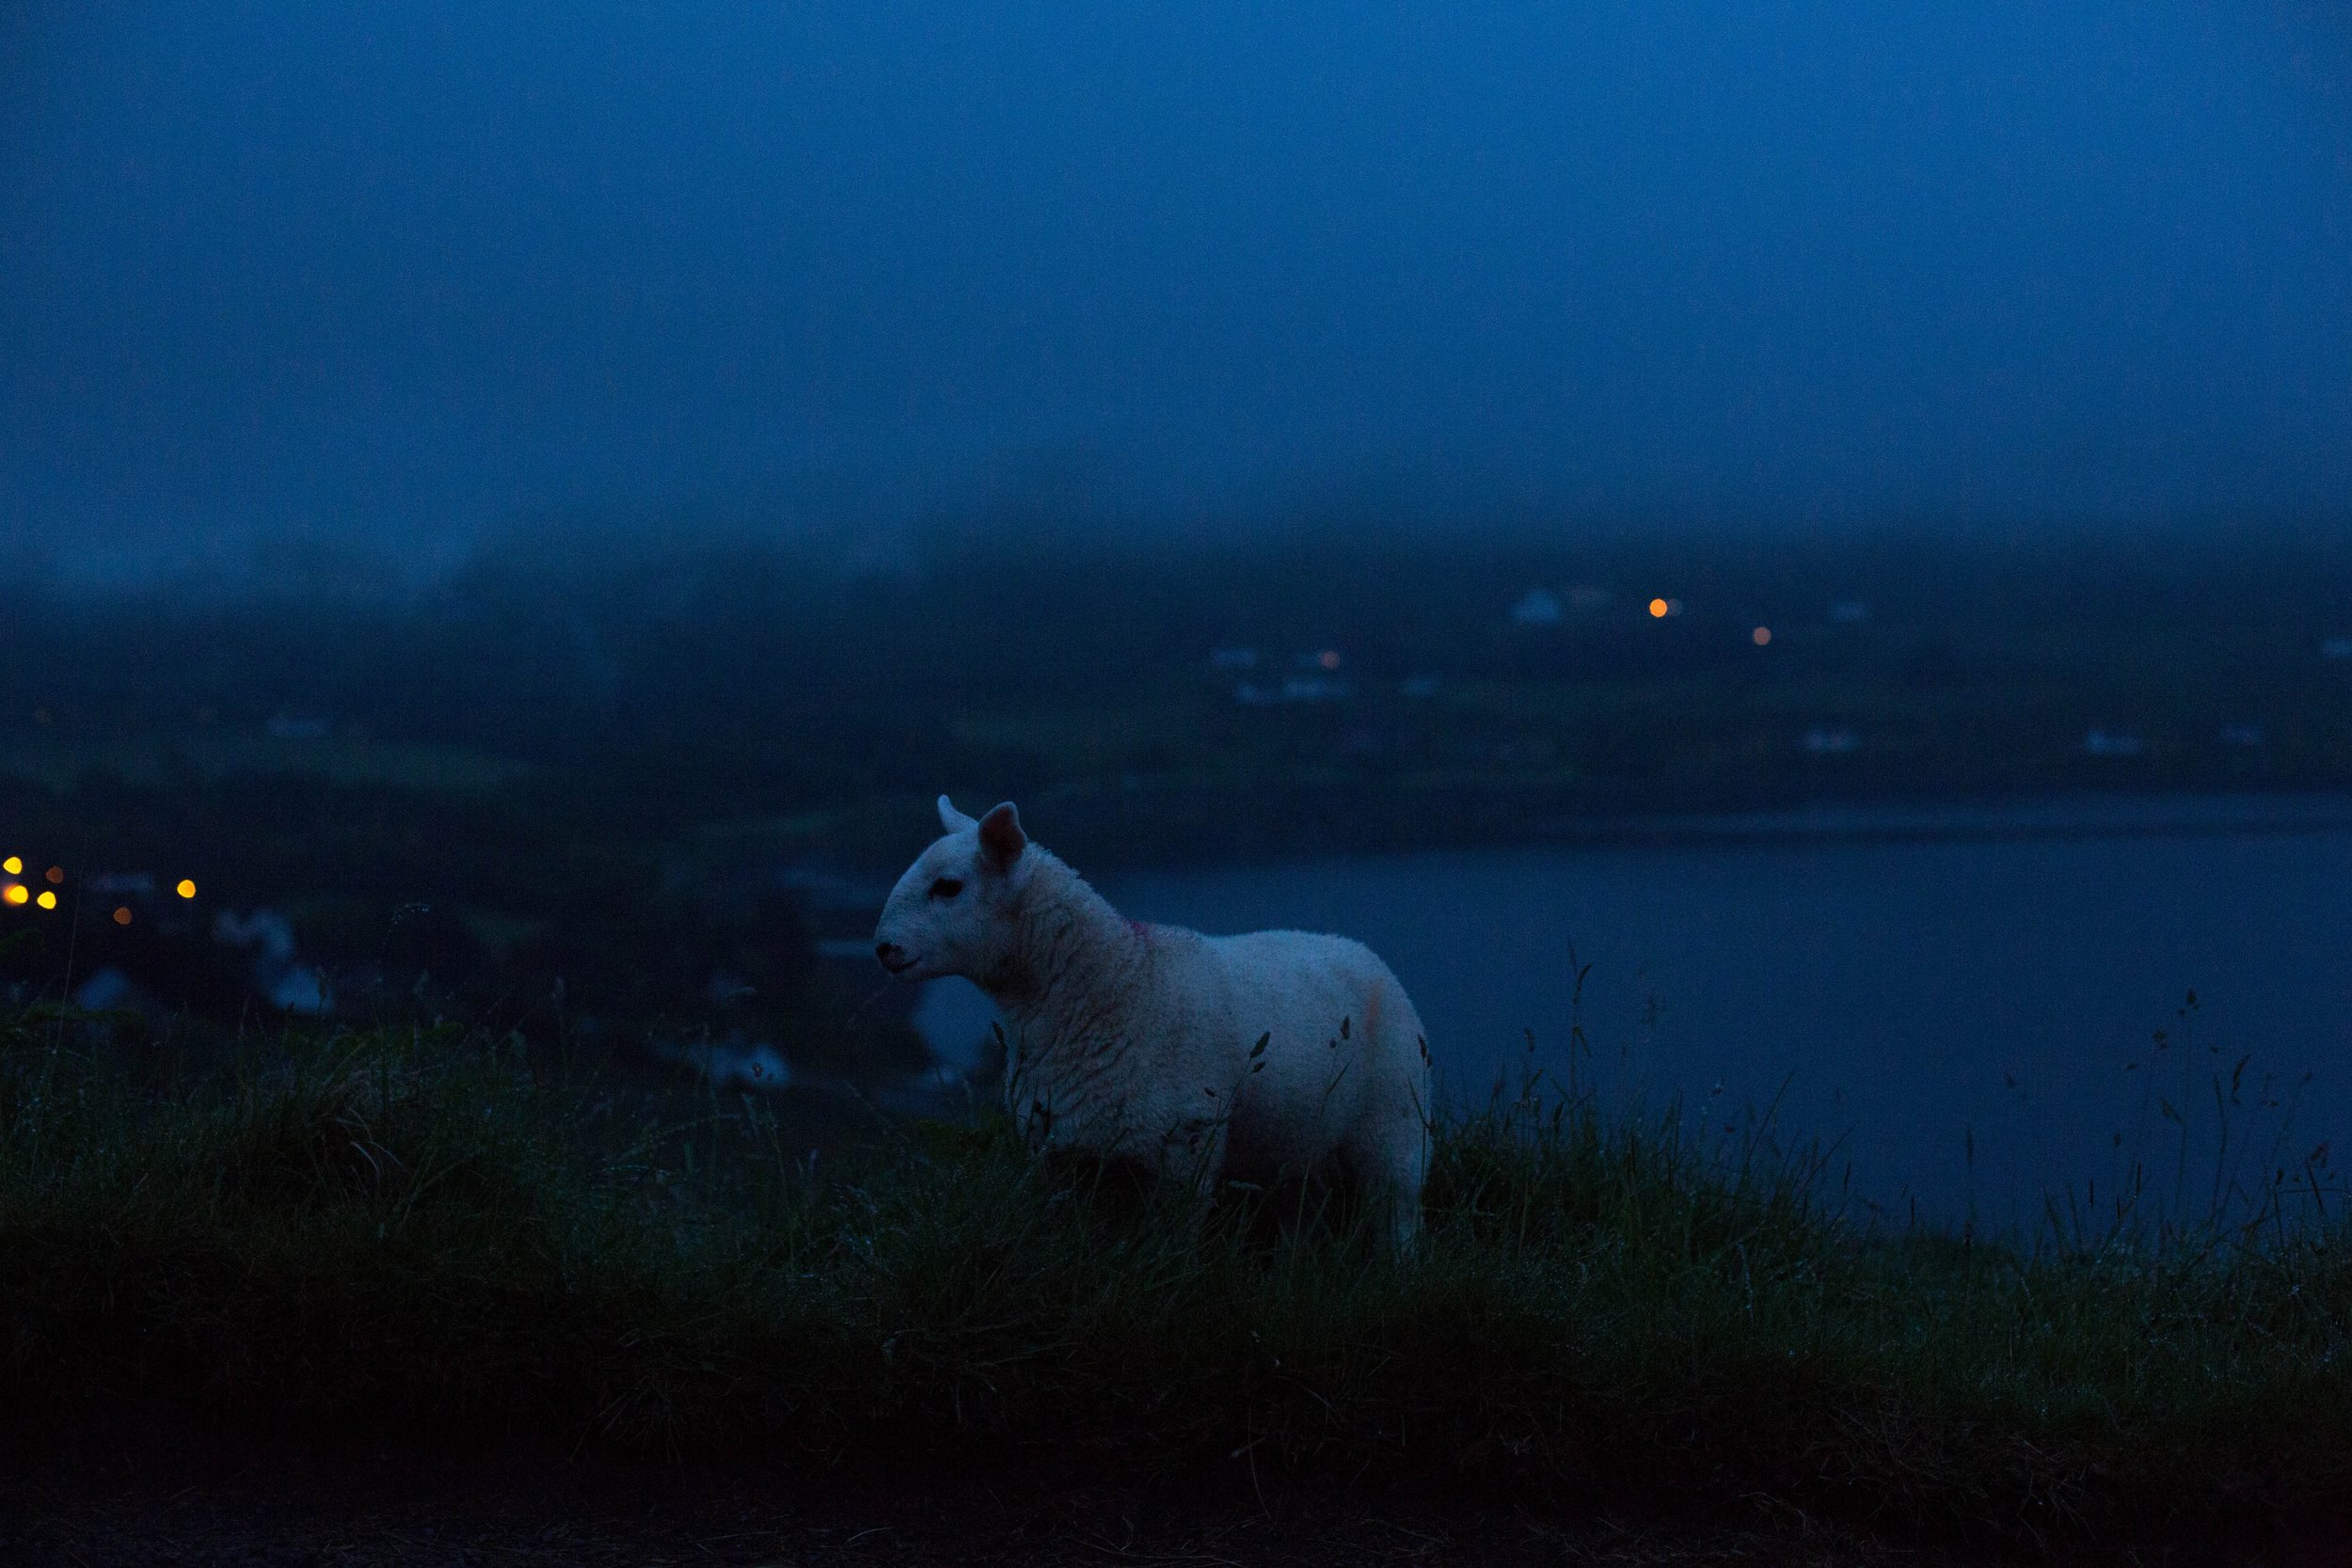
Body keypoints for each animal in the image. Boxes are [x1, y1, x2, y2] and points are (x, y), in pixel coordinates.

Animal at [884, 799, 1430, 1250]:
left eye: (948, 886)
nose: (883, 948)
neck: (1122, 982)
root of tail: (1359, 950)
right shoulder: (1057, 1149)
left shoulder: (1186, 1148)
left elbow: (1173, 1239)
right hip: (1295, 1136)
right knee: (1302, 1206)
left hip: (1395, 1120)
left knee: (1398, 1211)